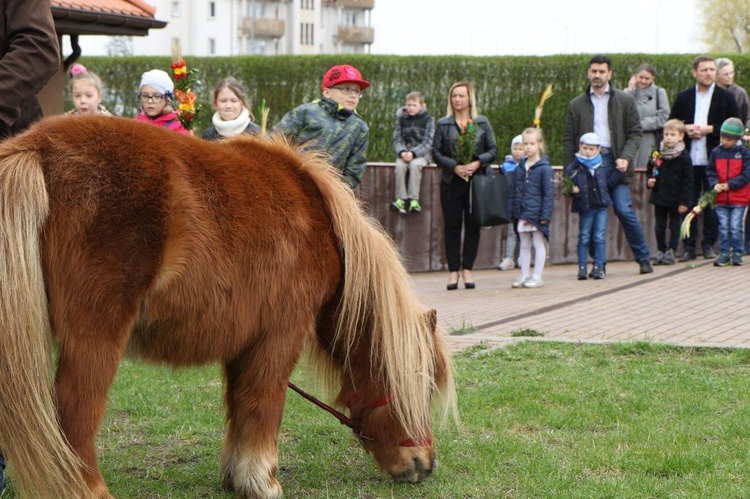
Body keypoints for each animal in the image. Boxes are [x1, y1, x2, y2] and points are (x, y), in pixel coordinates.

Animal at [0, 116, 458, 499]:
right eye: (422, 387)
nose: (424, 465)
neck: (324, 224)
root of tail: (36, 149)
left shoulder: (243, 344)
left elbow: (240, 407)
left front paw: (238, 477)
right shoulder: (280, 336)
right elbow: (264, 404)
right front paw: (263, 481)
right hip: (95, 341)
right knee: (74, 422)